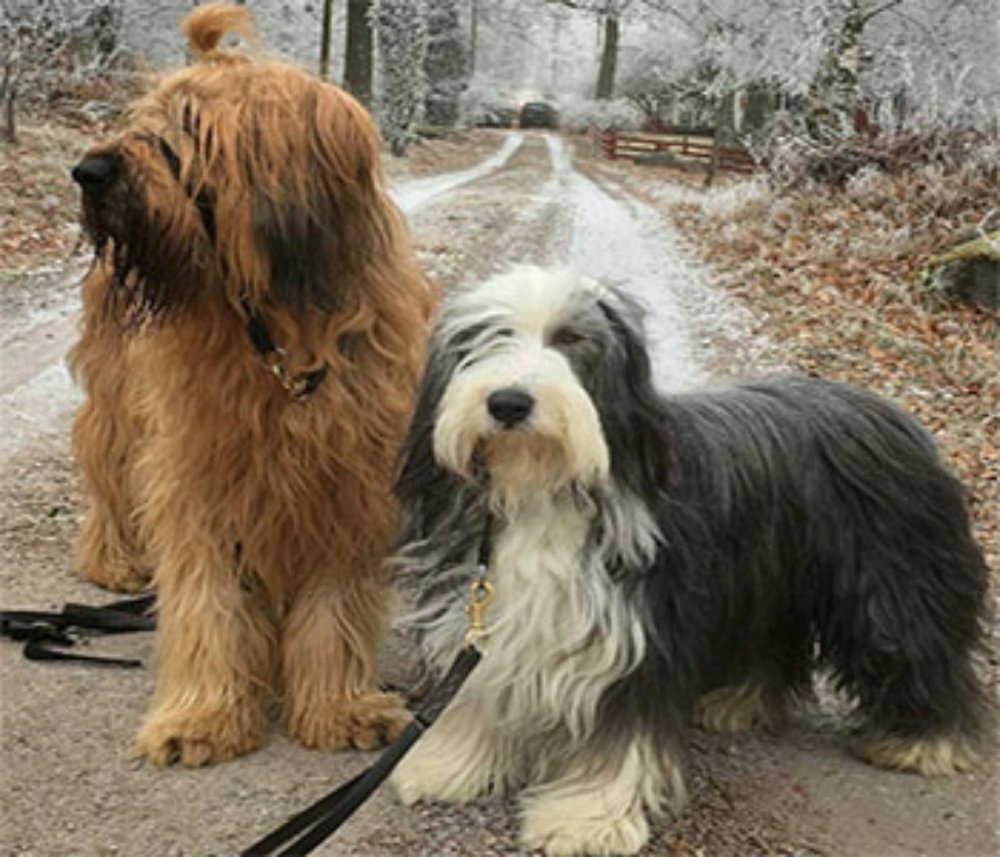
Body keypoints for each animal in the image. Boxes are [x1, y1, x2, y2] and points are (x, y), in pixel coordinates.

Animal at [68, 0, 432, 764]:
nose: (88, 170)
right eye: (140, 120)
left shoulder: (346, 479)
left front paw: (339, 706)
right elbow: (209, 600)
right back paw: (113, 560)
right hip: (119, 405)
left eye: (189, 127)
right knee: (110, 476)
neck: (276, 335)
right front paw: (203, 716)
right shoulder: (199, 470)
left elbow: (334, 605)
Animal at [386, 268, 988, 856]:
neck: (543, 488)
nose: (508, 402)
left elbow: (620, 734)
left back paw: (923, 740)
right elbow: (476, 694)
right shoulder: (485, 607)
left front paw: (585, 818)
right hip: (771, 579)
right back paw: (740, 701)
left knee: (915, 646)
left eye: (572, 339)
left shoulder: (637, 631)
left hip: (892, 580)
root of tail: (890, 410)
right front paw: (452, 765)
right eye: (481, 339)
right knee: (775, 641)